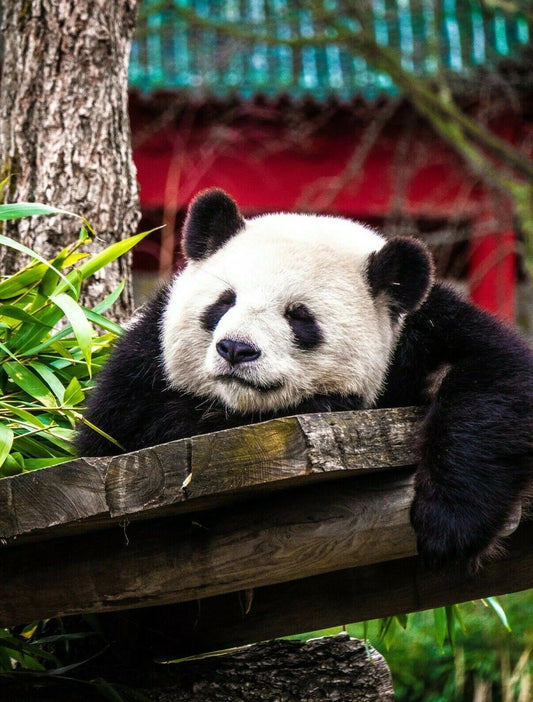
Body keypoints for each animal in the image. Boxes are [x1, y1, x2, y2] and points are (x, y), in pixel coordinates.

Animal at [76, 188, 533, 567]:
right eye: (225, 301)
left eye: (299, 317)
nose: (236, 349)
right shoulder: (140, 366)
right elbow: (125, 431)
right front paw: (325, 403)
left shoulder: (424, 330)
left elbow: (496, 378)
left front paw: (449, 526)